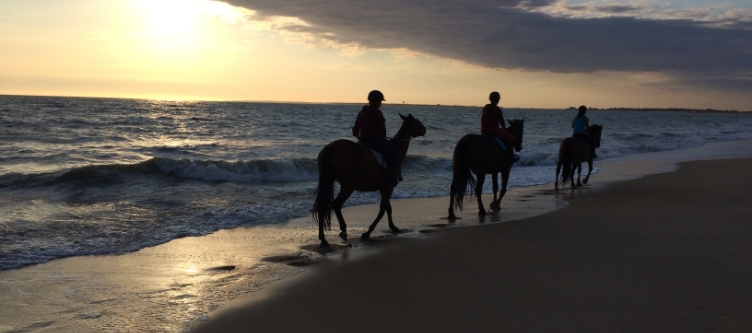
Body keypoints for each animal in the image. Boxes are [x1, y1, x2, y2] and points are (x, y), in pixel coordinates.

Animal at [312, 113, 426, 246]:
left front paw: (393, 227)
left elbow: (388, 209)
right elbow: (382, 210)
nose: (425, 129)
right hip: (348, 186)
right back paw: (343, 231)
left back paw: (323, 239)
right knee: (336, 204)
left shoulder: (384, 188)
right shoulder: (389, 187)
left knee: (322, 206)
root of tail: (332, 147)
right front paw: (367, 232)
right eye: (417, 122)